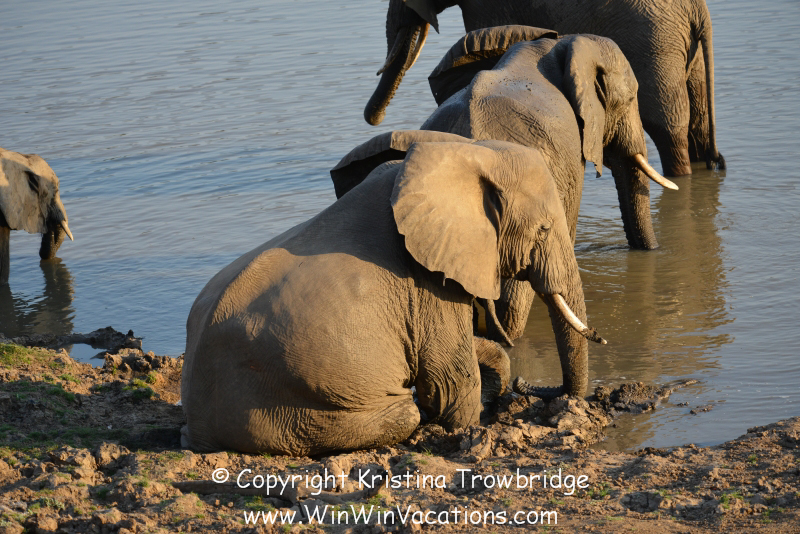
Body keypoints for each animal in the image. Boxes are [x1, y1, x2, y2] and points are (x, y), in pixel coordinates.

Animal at [182, 133, 605, 455]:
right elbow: (451, 379)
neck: (464, 153)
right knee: (403, 414)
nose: (525, 385)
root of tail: (198, 430)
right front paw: (467, 429)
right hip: (283, 409)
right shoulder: (425, 279)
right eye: (544, 229)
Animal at [364, 0, 725, 177]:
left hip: (653, 40)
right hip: (679, 46)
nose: (373, 119)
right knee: (696, 122)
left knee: (667, 127)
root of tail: (700, 11)